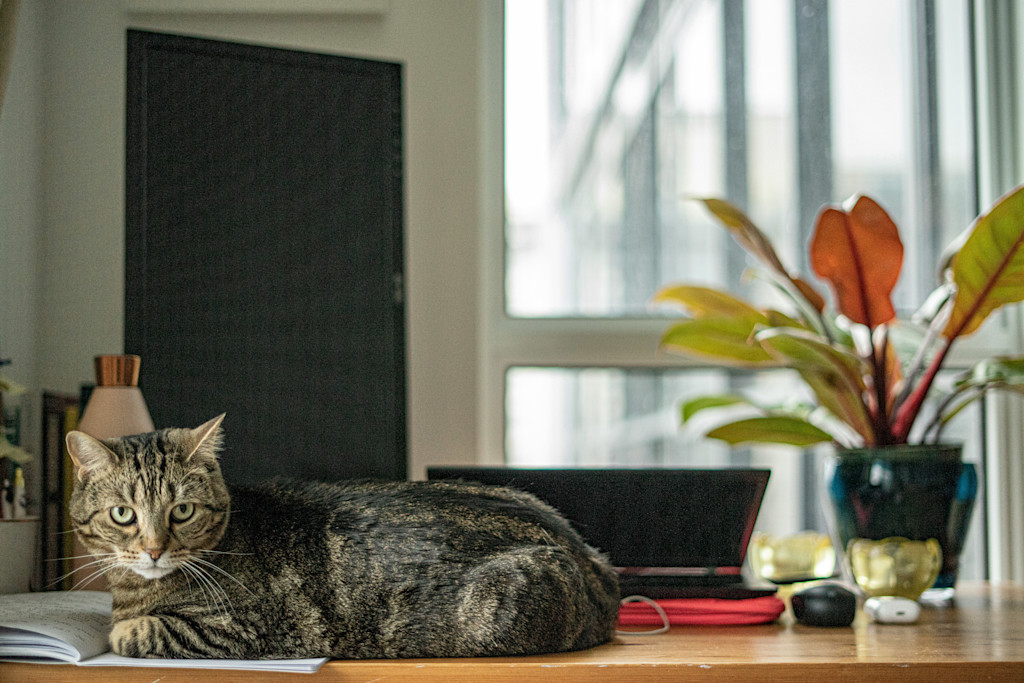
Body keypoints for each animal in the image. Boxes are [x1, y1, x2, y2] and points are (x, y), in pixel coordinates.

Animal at [66, 413, 622, 659]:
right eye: (123, 514)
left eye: (181, 510)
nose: (154, 549)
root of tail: (590, 558)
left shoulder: (236, 630)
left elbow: (135, 632)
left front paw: (119, 629)